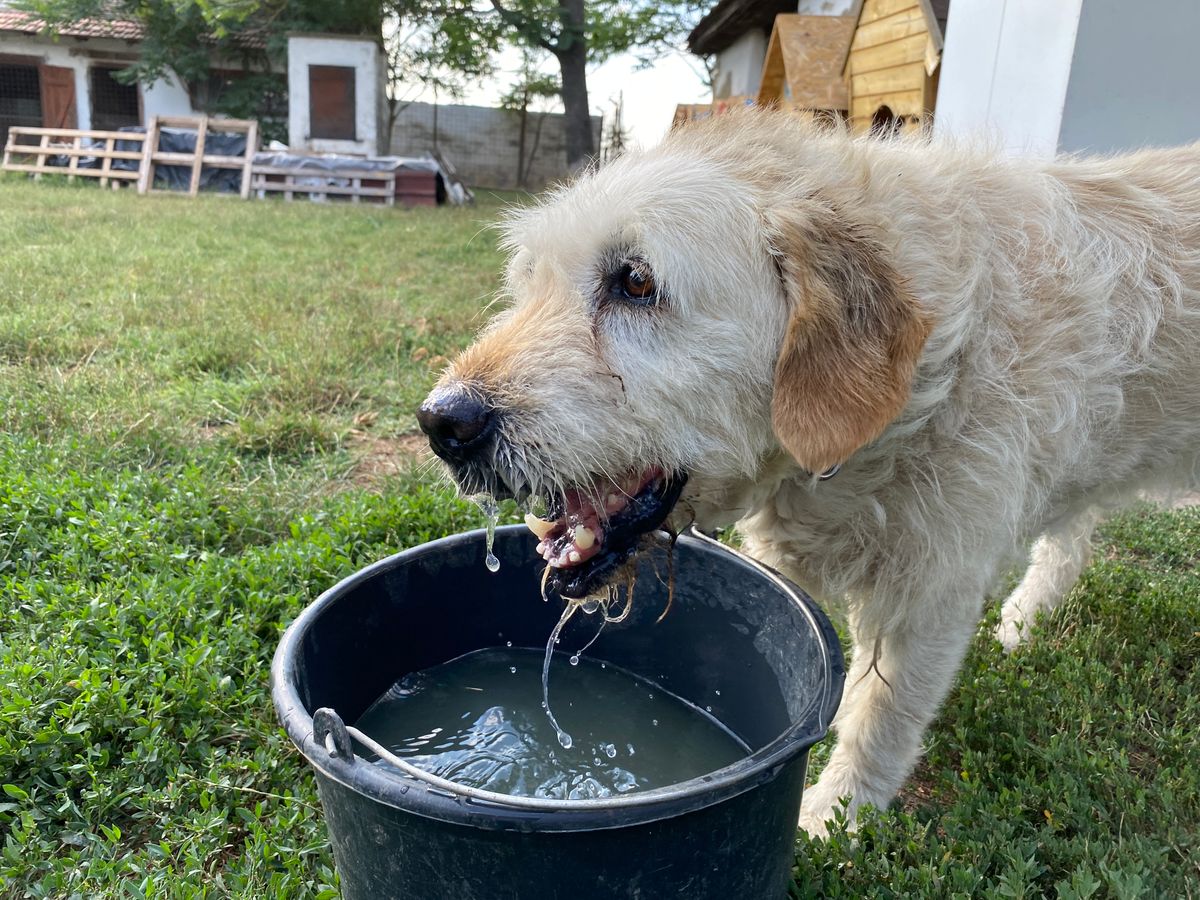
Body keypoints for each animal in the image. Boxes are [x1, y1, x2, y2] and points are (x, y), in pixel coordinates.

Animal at [415, 112, 1200, 840]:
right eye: (528, 281)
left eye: (635, 281)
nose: (443, 423)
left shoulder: (933, 588)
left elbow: (882, 716)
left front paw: (835, 822)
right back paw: (1028, 617)